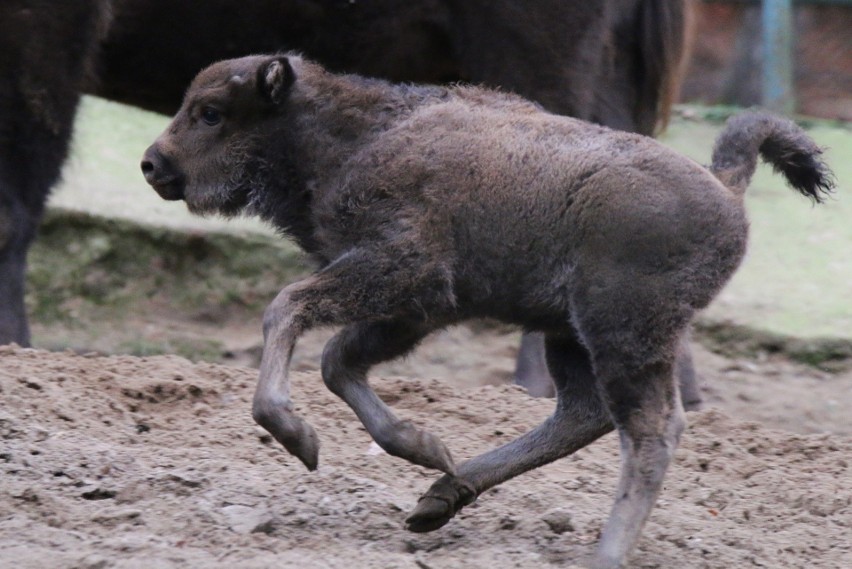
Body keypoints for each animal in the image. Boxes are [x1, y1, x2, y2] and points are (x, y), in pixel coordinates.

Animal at [140, 54, 832, 568]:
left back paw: (603, 553)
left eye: (210, 112)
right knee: (582, 414)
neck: (356, 134)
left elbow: (289, 310)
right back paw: (439, 497)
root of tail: (726, 187)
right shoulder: (415, 308)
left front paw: (298, 437)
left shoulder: (403, 272)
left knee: (651, 432)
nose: (152, 164)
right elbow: (339, 362)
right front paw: (425, 447)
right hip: (569, 333)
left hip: (624, 332)